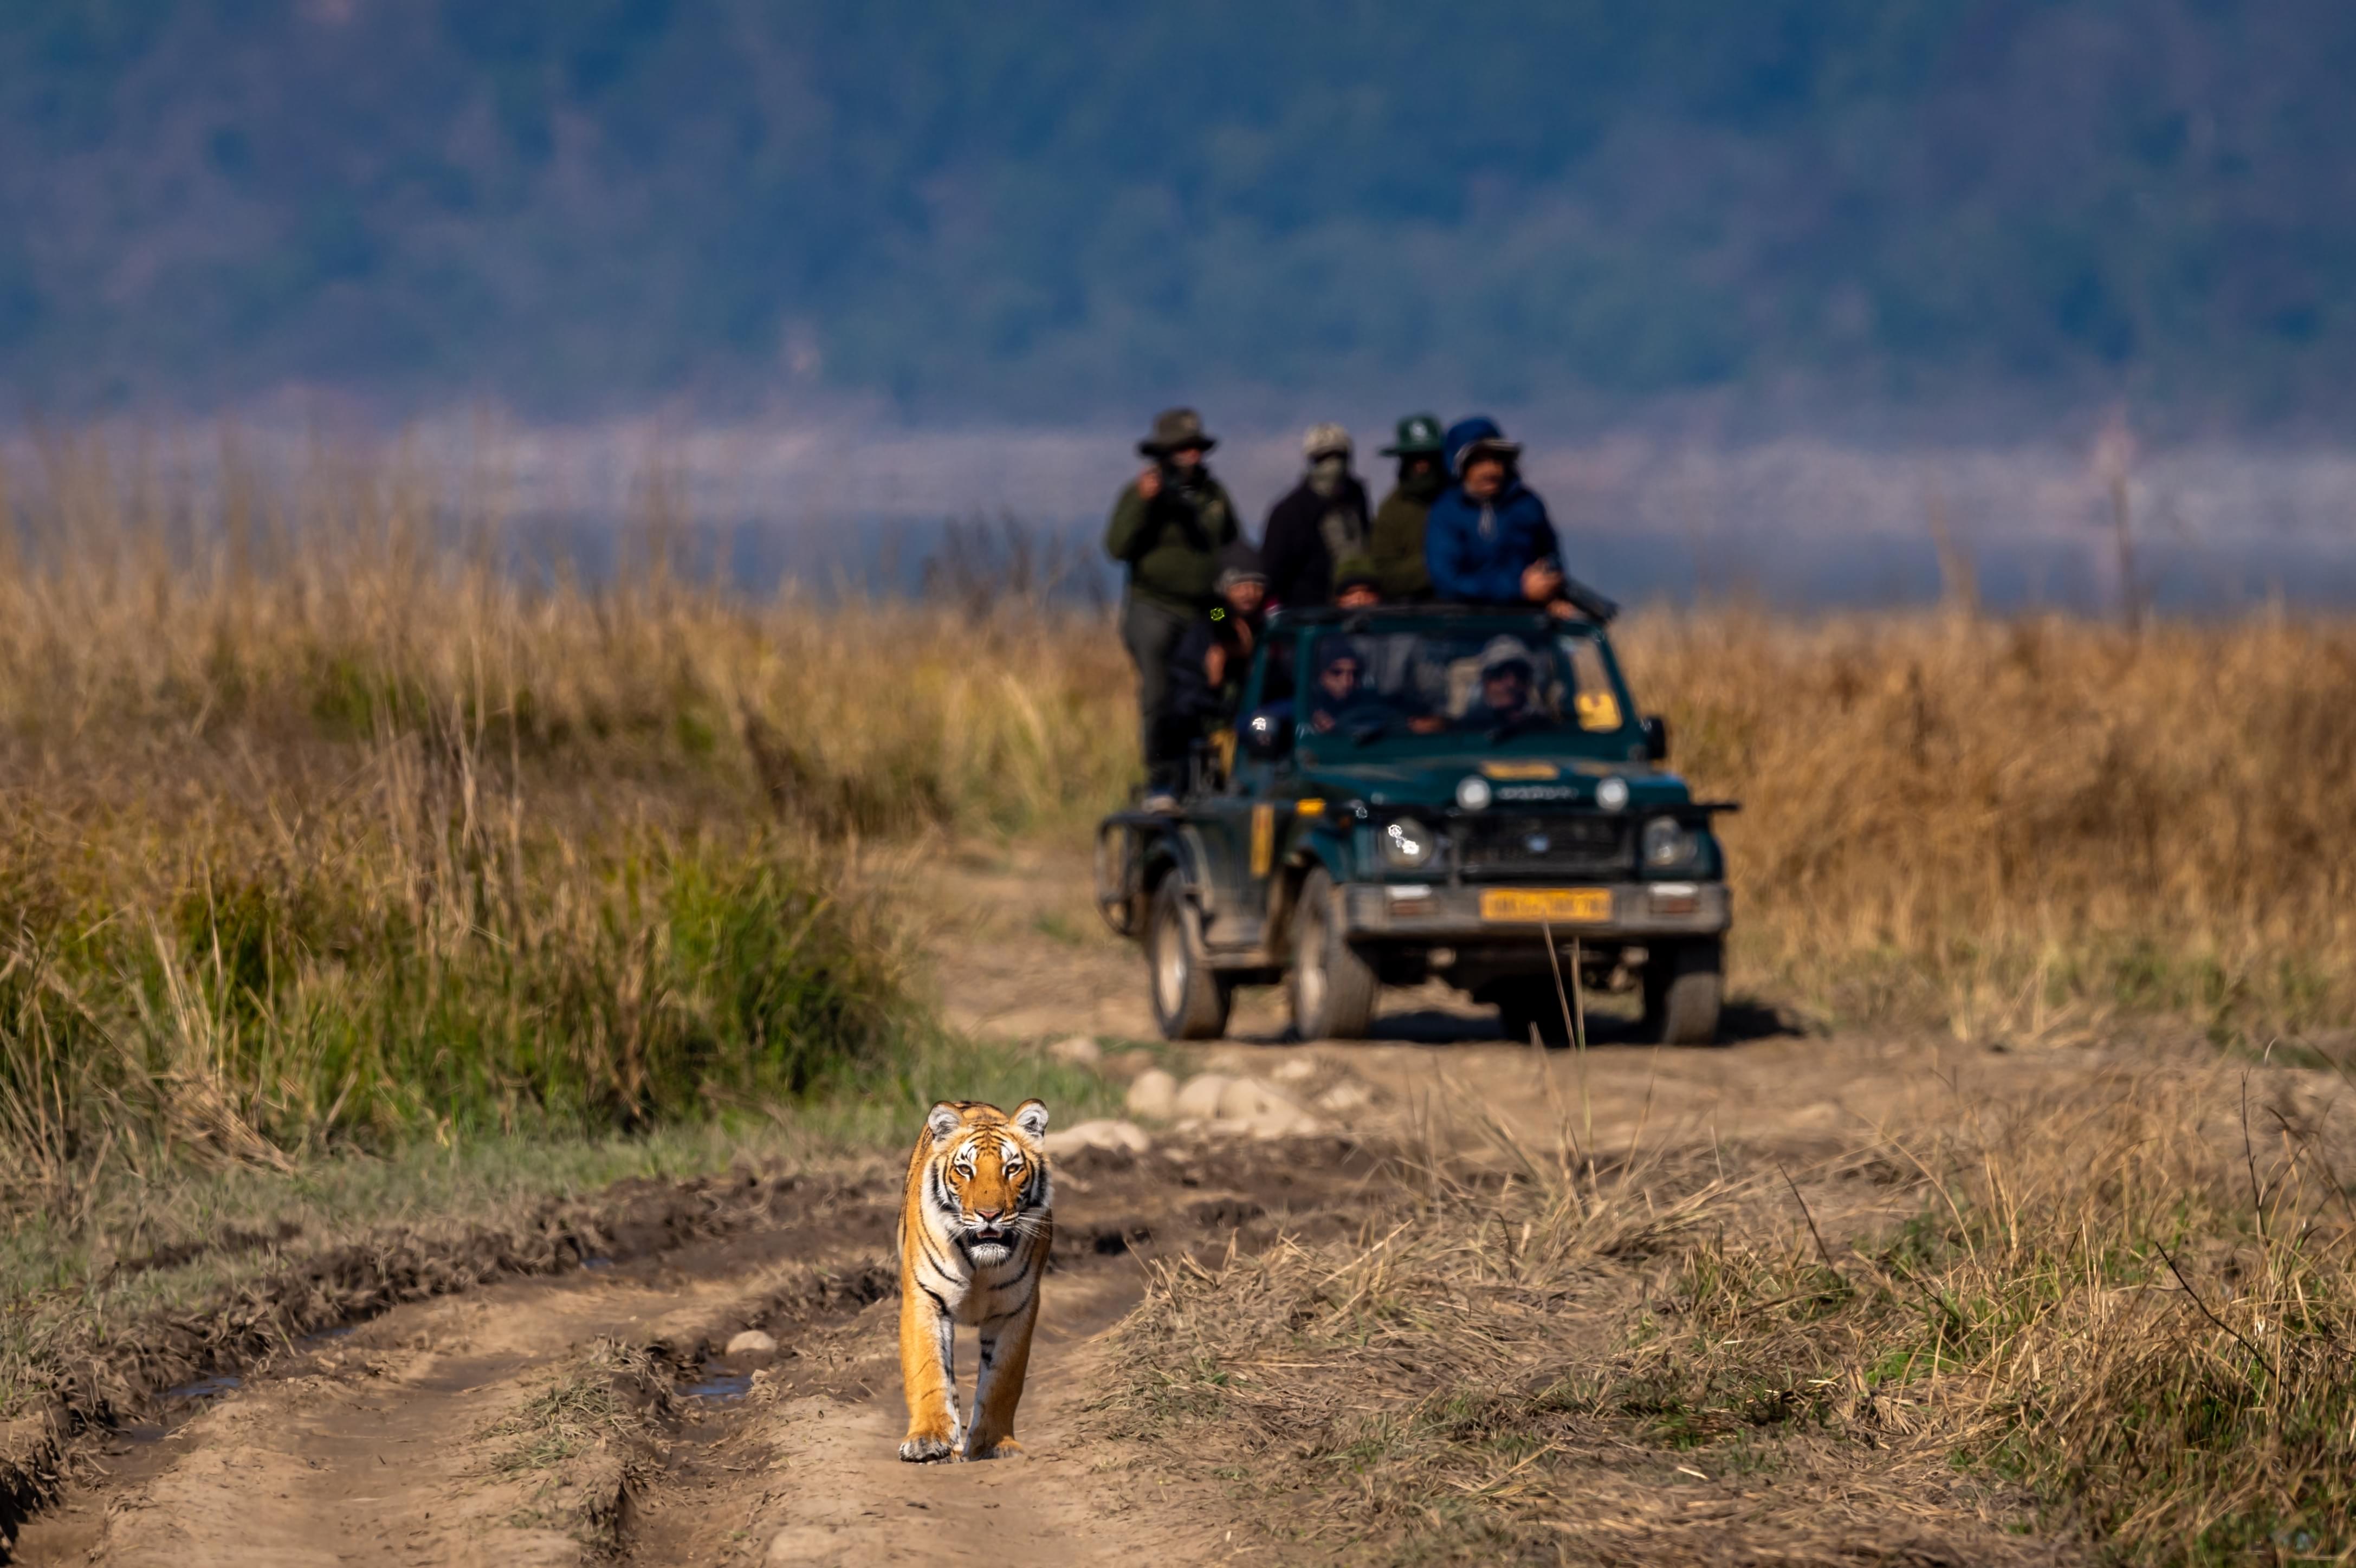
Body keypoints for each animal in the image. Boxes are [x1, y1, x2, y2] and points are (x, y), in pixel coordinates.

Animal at [895, 1097, 1055, 1450]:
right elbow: (928, 1372)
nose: (989, 1215)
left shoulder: (1017, 1307)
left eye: (1012, 1168)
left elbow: (1003, 1380)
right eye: (965, 1170)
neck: (980, 1264)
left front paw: (994, 1445)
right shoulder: (924, 1297)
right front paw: (927, 1439)